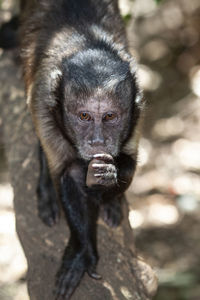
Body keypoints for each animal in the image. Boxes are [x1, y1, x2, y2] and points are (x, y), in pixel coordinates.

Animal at [18, 0, 144, 298]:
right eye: (84, 116)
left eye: (110, 117)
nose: (98, 141)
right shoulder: (43, 101)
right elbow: (69, 177)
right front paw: (82, 253)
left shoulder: (138, 112)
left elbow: (129, 165)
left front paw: (107, 177)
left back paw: (111, 202)